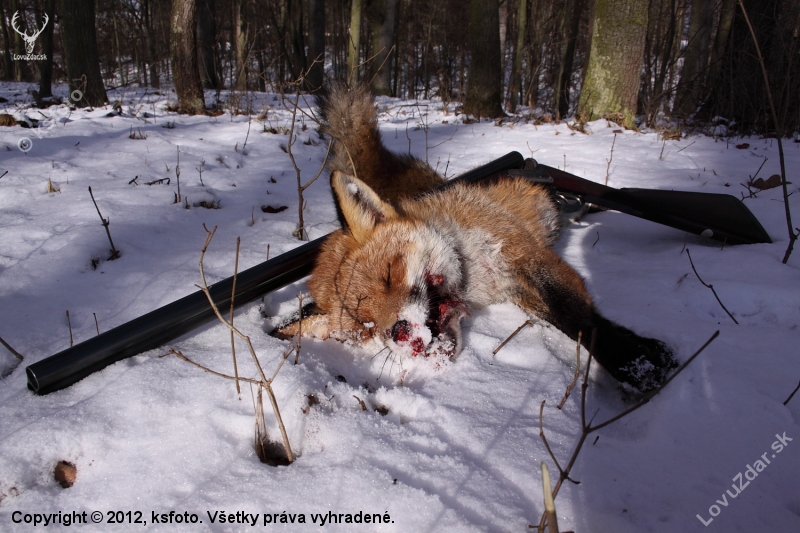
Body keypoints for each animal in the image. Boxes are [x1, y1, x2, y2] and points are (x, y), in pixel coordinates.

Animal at [276, 83, 678, 392]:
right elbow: (569, 320)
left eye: (389, 275)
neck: (474, 273)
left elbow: (577, 317)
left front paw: (635, 363)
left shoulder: (526, 256)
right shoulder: (517, 290)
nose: (399, 332)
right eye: (365, 326)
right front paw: (637, 356)